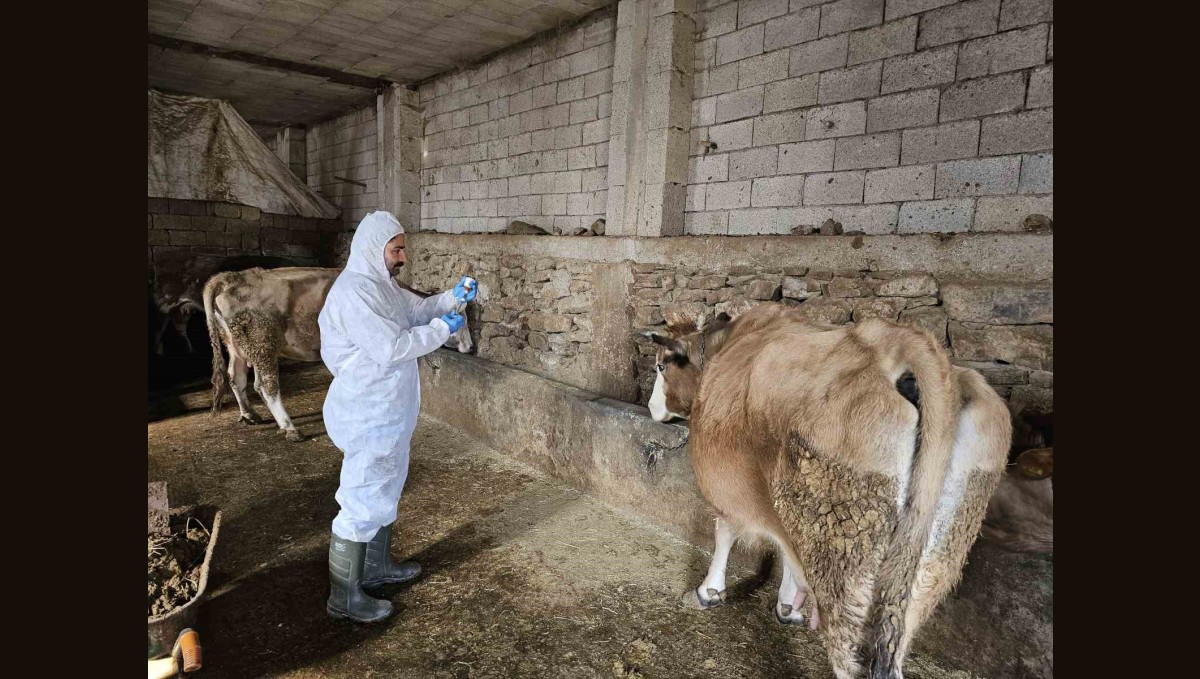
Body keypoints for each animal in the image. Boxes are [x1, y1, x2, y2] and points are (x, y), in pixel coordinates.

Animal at [204, 266, 470, 441]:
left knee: (235, 377)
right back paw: (289, 427)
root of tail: (228, 277)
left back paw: (249, 414)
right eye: (463, 319)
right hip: (263, 342)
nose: (470, 347)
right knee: (265, 385)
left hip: (236, 344)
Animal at [648, 305, 1012, 679]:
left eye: (660, 366)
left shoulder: (727, 487)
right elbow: (787, 552)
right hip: (929, 566)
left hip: (844, 558)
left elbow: (725, 534)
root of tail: (894, 341)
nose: (651, 407)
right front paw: (789, 604)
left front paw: (708, 592)